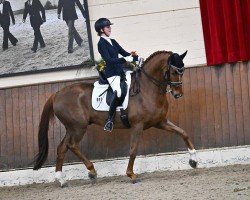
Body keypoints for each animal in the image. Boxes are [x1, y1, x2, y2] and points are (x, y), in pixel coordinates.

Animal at [33, 50, 197, 186]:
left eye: (183, 71)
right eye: (174, 71)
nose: (178, 94)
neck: (147, 89)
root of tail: (57, 94)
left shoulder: (160, 122)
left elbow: (183, 133)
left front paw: (194, 160)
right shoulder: (137, 126)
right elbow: (133, 150)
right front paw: (131, 175)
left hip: (72, 128)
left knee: (62, 148)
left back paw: (62, 180)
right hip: (78, 127)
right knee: (71, 145)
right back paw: (92, 171)